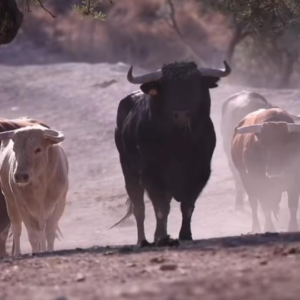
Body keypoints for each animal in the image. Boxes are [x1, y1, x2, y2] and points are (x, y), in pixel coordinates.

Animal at [0, 124, 68, 255]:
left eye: (38, 149)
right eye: (15, 150)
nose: (20, 176)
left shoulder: (59, 203)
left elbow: (49, 232)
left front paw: (49, 251)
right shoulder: (22, 205)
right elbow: (33, 235)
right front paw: (36, 252)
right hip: (11, 203)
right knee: (17, 229)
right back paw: (18, 253)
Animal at [113, 61, 231, 246]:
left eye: (195, 86)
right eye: (166, 89)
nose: (181, 115)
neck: (178, 143)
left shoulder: (200, 173)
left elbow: (187, 206)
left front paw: (185, 235)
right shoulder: (151, 176)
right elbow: (161, 207)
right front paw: (161, 237)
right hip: (129, 172)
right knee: (139, 208)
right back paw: (143, 240)